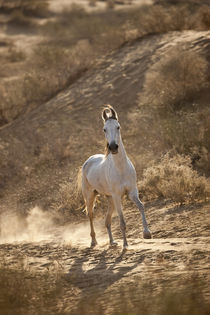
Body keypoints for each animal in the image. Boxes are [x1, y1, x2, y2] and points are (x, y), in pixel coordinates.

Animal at [80, 106, 151, 249]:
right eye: (104, 129)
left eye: (118, 127)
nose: (113, 147)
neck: (121, 168)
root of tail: (88, 160)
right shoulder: (118, 196)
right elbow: (122, 221)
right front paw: (125, 245)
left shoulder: (132, 192)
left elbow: (141, 206)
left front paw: (146, 233)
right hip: (90, 196)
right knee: (90, 215)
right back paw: (93, 241)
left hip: (110, 199)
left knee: (107, 221)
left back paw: (112, 242)